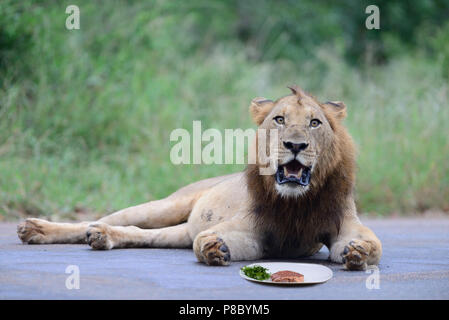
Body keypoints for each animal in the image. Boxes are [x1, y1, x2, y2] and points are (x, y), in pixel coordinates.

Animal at [18, 85, 382, 270]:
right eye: (279, 119)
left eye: (314, 123)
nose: (295, 145)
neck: (296, 202)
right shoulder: (254, 230)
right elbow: (208, 241)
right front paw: (212, 247)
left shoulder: (339, 222)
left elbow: (372, 244)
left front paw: (359, 251)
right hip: (166, 205)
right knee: (102, 220)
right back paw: (36, 229)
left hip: (176, 230)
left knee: (139, 234)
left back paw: (102, 237)